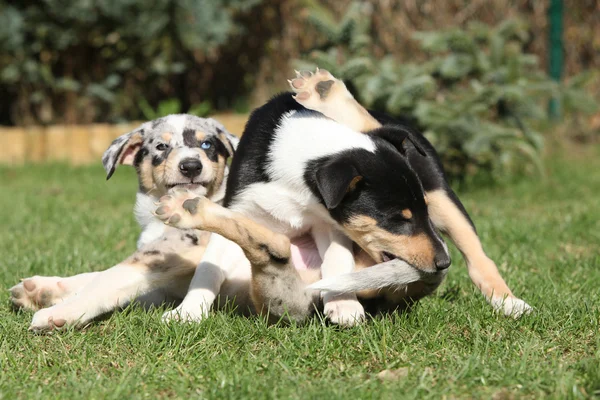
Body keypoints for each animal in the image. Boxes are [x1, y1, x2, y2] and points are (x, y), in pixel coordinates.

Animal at [10, 113, 240, 332]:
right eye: (161, 146)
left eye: (207, 144)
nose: (191, 166)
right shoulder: (164, 288)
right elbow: (96, 276)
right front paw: (43, 290)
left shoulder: (176, 249)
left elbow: (108, 278)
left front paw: (61, 312)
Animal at [154, 69, 528, 324]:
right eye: (398, 219)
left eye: (416, 214)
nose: (443, 263)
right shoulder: (242, 205)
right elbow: (209, 267)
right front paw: (187, 313)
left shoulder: (330, 223)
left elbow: (337, 257)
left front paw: (344, 305)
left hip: (441, 194)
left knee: (478, 257)